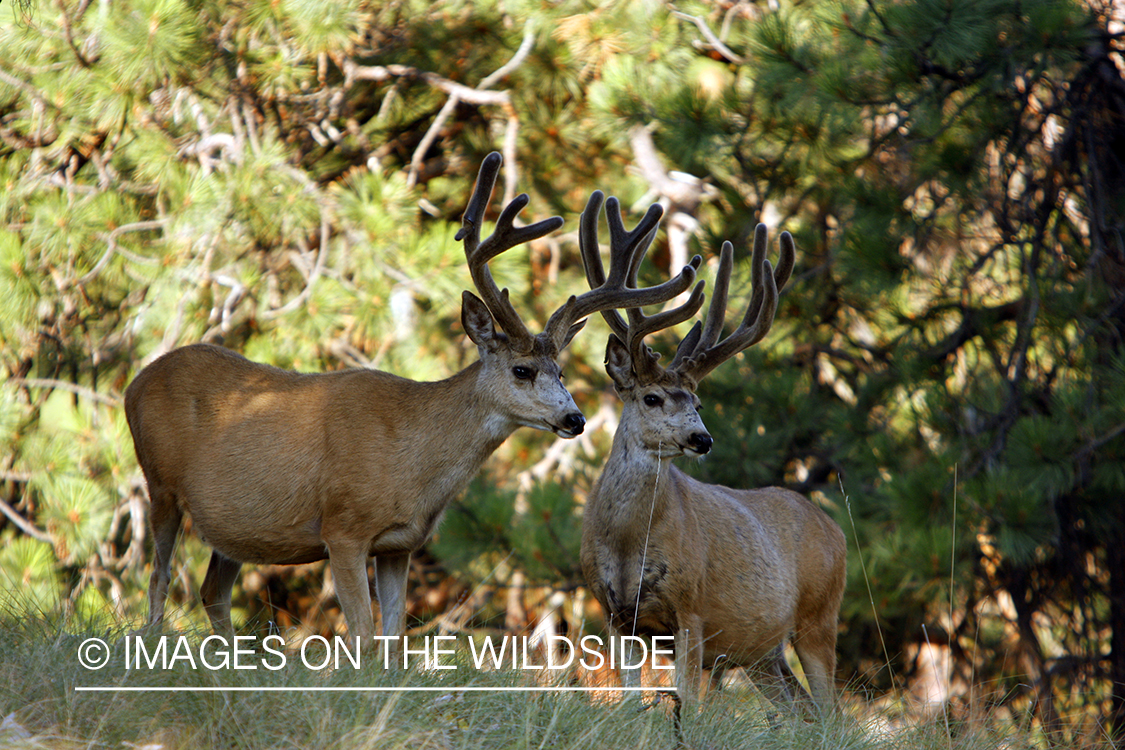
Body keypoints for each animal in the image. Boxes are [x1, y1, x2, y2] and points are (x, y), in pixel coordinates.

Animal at [124, 153, 701, 654]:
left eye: (560, 371)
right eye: (523, 370)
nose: (574, 418)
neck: (411, 456)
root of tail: (135, 381)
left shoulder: (400, 545)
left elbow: (394, 641)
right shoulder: (343, 527)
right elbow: (362, 638)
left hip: (233, 527)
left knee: (210, 592)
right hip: (160, 483)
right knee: (157, 580)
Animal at [577, 193, 847, 717]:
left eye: (698, 403)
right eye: (652, 398)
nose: (703, 439)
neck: (626, 541)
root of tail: (836, 529)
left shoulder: (691, 609)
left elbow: (688, 705)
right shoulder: (616, 613)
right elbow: (629, 700)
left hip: (820, 615)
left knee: (831, 712)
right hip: (763, 651)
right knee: (799, 707)